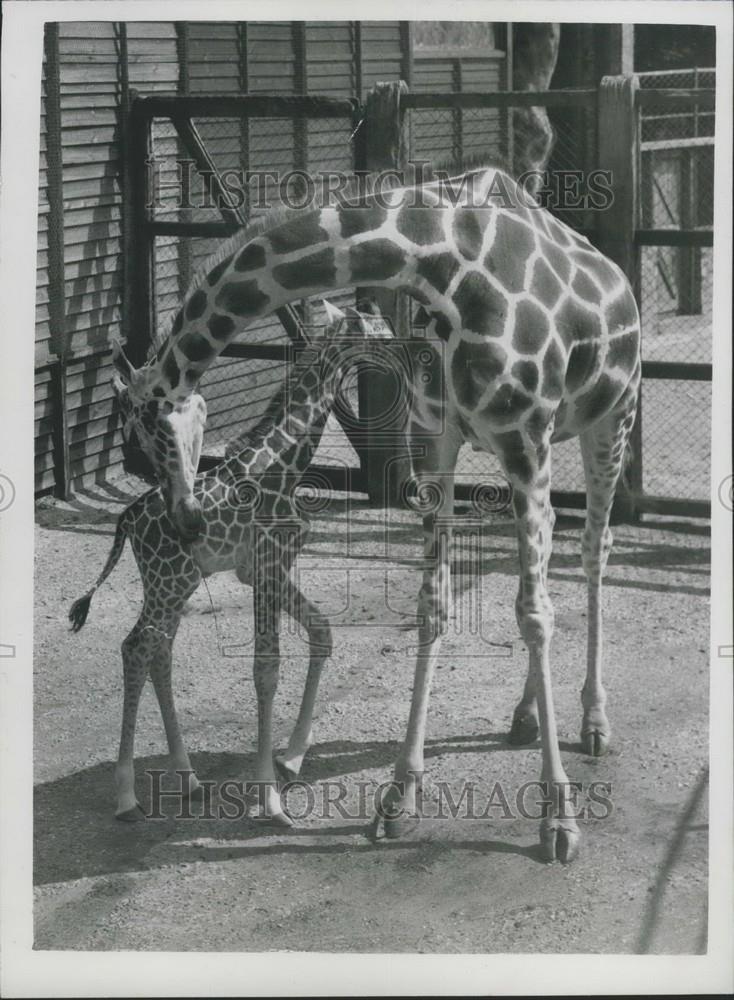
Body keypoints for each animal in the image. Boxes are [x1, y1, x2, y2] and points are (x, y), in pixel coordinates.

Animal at [69, 300, 394, 824]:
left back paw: (188, 779)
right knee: (135, 648)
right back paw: (127, 796)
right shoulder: (265, 563)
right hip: (167, 581)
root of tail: (127, 520)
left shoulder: (266, 569)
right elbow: (266, 669)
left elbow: (320, 632)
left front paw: (292, 760)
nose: (409, 351)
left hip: (174, 585)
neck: (286, 465)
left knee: (159, 652)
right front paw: (270, 798)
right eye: (379, 331)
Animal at [112, 170, 640, 860]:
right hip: (546, 446)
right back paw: (524, 716)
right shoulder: (439, 440)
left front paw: (559, 819)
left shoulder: (524, 436)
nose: (185, 522)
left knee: (594, 552)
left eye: (147, 431)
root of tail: (620, 279)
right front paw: (400, 796)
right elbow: (434, 605)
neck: (443, 265)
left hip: (611, 417)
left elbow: (532, 615)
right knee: (550, 554)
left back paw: (595, 720)